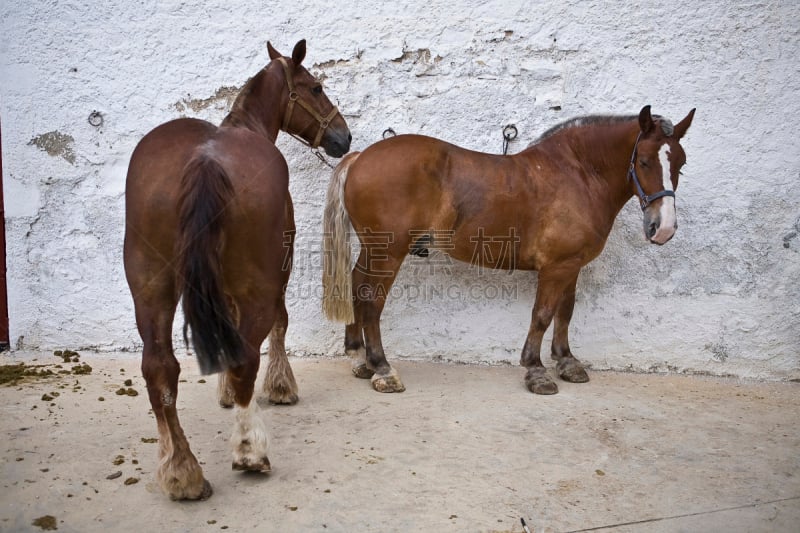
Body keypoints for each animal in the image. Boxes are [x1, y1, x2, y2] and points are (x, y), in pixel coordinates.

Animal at [125, 40, 350, 498]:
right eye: (316, 88)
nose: (345, 135)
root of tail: (204, 159)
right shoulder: (279, 268)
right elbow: (279, 324)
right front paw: (279, 386)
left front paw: (224, 391)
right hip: (257, 283)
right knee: (247, 355)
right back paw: (249, 451)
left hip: (150, 286)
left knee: (159, 368)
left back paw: (181, 471)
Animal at [322, 105, 692, 394]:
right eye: (644, 161)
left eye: (681, 163)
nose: (663, 228)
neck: (578, 174)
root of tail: (360, 158)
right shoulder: (556, 267)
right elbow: (542, 314)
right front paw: (536, 371)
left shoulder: (571, 265)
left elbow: (565, 312)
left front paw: (567, 362)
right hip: (389, 253)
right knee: (371, 299)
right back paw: (382, 368)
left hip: (373, 250)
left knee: (356, 287)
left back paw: (360, 359)